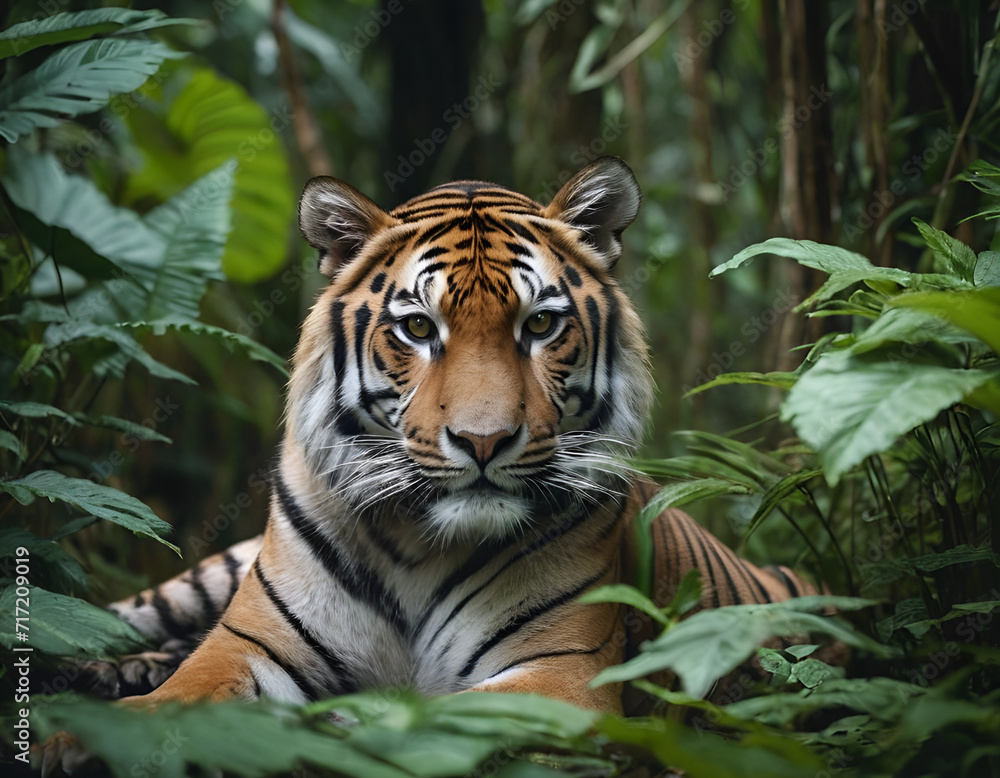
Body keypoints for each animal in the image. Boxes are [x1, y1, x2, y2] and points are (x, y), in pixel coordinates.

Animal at [55, 157, 820, 721]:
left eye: (540, 324)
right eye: (419, 328)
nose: (484, 442)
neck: (417, 546)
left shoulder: (558, 676)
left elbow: (424, 716)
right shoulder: (245, 646)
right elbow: (171, 704)